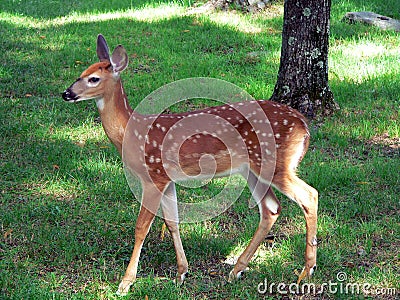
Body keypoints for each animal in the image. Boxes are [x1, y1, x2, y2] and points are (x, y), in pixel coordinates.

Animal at [61, 34, 318, 296]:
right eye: (81, 73)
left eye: (94, 78)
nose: (66, 93)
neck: (131, 134)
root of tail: (303, 124)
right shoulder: (167, 179)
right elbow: (172, 222)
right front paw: (181, 273)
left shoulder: (153, 174)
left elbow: (141, 227)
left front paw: (126, 282)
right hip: (253, 169)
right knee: (271, 208)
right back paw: (237, 270)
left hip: (276, 163)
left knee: (309, 195)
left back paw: (306, 271)